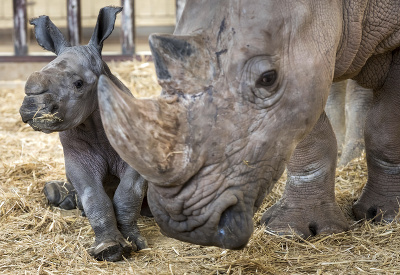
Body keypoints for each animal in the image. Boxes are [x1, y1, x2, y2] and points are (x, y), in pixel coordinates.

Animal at [18, 5, 147, 262]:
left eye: (78, 84)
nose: (30, 107)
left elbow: (128, 194)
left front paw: (133, 242)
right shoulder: (78, 158)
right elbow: (94, 196)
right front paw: (110, 249)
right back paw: (59, 195)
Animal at [97, 0, 400, 250]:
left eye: (267, 78)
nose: (185, 223)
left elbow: (386, 127)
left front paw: (384, 215)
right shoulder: (306, 67)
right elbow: (308, 136)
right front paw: (292, 230)